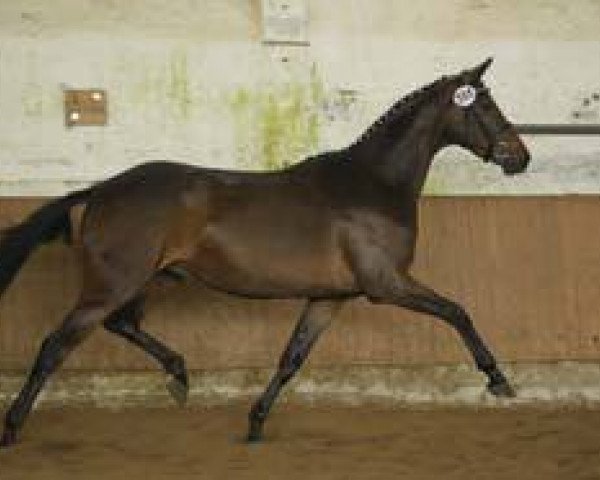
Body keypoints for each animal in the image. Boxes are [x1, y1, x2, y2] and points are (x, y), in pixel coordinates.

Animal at [0, 59, 528, 446]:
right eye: (486, 106)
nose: (519, 158)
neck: (373, 184)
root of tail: (101, 190)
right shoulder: (387, 285)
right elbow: (457, 312)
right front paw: (498, 380)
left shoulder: (330, 297)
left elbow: (291, 357)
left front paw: (255, 423)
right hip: (112, 285)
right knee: (54, 347)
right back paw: (13, 427)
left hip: (141, 281)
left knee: (122, 325)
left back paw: (179, 376)